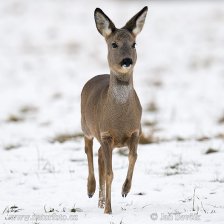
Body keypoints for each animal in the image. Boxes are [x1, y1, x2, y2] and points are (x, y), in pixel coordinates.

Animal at [81, 6, 148, 214]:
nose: (127, 61)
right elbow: (110, 173)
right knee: (89, 151)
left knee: (100, 157)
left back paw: (100, 201)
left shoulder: (136, 130)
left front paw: (125, 190)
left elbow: (133, 157)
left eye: (134, 43)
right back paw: (91, 190)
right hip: (85, 126)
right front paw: (108, 211)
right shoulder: (105, 134)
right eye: (114, 44)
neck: (119, 119)